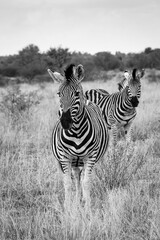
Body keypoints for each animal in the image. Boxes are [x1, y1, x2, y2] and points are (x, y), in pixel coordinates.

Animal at [47, 63, 109, 208]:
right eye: (59, 94)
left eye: (76, 93)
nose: (65, 122)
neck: (76, 132)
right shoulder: (64, 157)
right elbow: (68, 184)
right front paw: (68, 208)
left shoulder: (90, 157)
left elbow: (86, 183)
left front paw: (88, 209)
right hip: (73, 161)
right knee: (76, 178)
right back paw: (76, 201)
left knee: (82, 178)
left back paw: (83, 200)